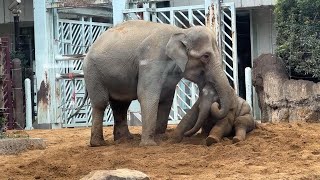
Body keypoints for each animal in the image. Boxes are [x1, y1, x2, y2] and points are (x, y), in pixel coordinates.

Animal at [81, 20, 231, 146]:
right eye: (205, 56)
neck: (182, 31)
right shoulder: (152, 59)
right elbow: (147, 95)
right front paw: (149, 144)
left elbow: (166, 99)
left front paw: (160, 138)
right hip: (93, 73)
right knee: (100, 103)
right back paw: (98, 144)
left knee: (120, 105)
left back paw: (125, 140)